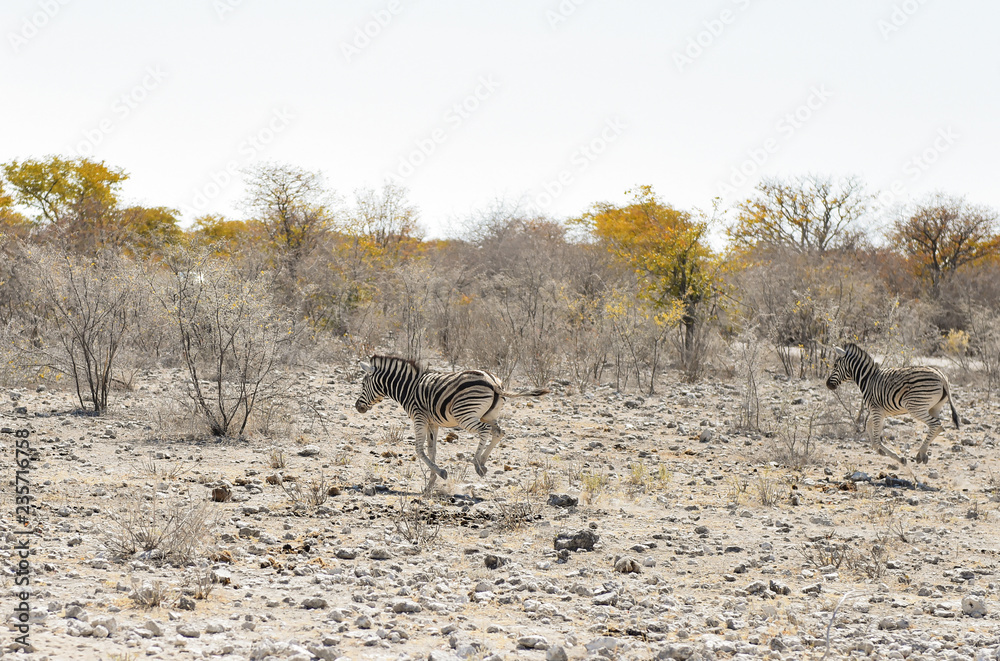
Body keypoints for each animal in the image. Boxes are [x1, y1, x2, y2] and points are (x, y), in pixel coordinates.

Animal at [354, 355, 549, 491]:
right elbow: (432, 450)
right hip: (489, 415)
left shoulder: (419, 418)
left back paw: (477, 463)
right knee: (499, 432)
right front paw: (430, 484)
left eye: (363, 384)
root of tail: (493, 382)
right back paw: (483, 462)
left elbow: (419, 450)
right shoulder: (432, 423)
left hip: (465, 415)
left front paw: (441, 473)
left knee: (485, 431)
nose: (357, 407)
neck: (408, 389)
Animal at [825, 343, 960, 465]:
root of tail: (941, 376)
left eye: (835, 365)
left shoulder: (876, 410)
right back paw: (922, 454)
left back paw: (921, 453)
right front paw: (878, 450)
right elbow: (869, 427)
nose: (827, 384)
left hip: (915, 407)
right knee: (939, 426)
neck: (868, 379)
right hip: (934, 407)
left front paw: (899, 458)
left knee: (935, 424)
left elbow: (876, 438)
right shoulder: (881, 412)